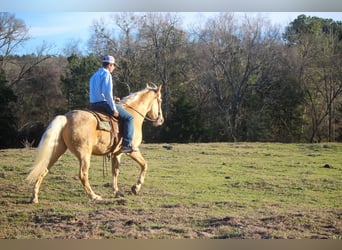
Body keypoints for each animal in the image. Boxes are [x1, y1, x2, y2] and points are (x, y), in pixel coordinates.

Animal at [26, 84, 163, 203]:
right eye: (160, 100)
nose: (161, 120)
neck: (133, 114)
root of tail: (66, 118)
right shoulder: (131, 150)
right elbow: (144, 165)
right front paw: (136, 188)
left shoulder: (116, 154)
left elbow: (115, 171)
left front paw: (117, 192)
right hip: (84, 155)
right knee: (83, 175)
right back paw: (94, 196)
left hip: (57, 151)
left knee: (44, 169)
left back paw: (34, 197)